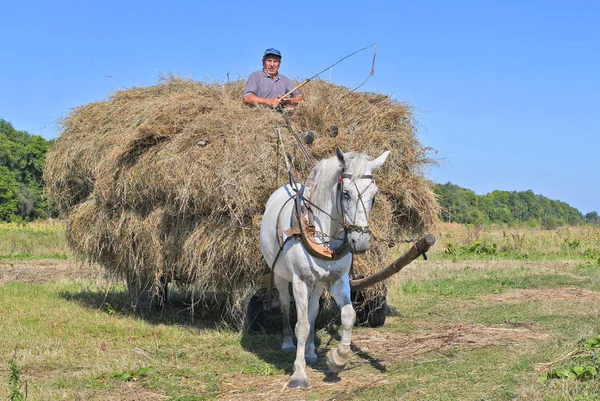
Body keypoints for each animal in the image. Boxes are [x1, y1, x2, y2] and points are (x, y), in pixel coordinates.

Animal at [258, 147, 390, 388]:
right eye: (345, 193)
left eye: (374, 196)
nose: (360, 242)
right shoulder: (300, 281)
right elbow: (301, 326)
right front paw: (299, 374)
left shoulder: (338, 280)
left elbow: (347, 315)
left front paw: (338, 359)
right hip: (281, 276)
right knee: (285, 305)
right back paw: (288, 343)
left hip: (318, 283)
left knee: (312, 312)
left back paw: (310, 352)